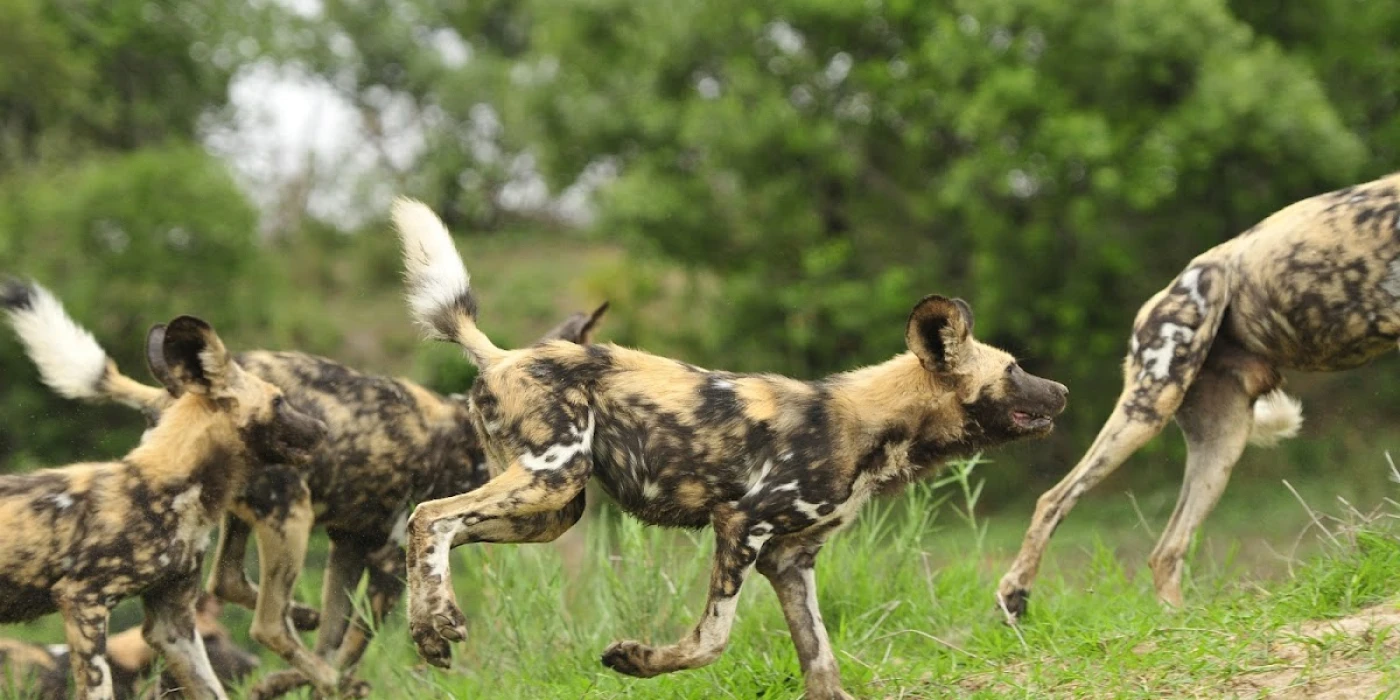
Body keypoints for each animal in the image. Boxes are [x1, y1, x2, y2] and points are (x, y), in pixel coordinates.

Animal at [389, 198, 1064, 700]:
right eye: (1013, 371)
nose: (1061, 390)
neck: (874, 427)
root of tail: (502, 353)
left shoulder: (790, 560)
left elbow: (820, 661)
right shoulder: (742, 524)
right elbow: (711, 640)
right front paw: (635, 660)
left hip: (551, 509)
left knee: (437, 528)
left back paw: (429, 628)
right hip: (552, 477)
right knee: (432, 516)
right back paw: (436, 624)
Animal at [996, 172, 1400, 621]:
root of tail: (1158, 298)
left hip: (1220, 448)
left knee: (1165, 552)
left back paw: (1177, 623)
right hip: (1149, 408)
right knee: (1055, 499)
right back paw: (1016, 592)